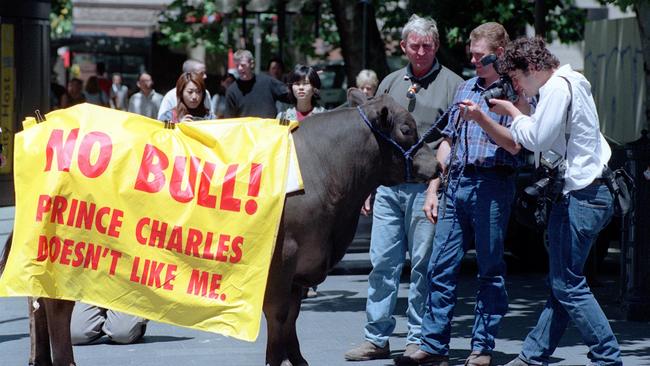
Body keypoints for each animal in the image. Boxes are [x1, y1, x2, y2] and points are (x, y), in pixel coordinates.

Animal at [0, 89, 438, 366]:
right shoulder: (281, 266)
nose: (438, 163)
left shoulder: (299, 273)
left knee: (39, 305)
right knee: (56, 308)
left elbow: (292, 329)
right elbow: (279, 327)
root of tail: (43, 123)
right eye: (406, 129)